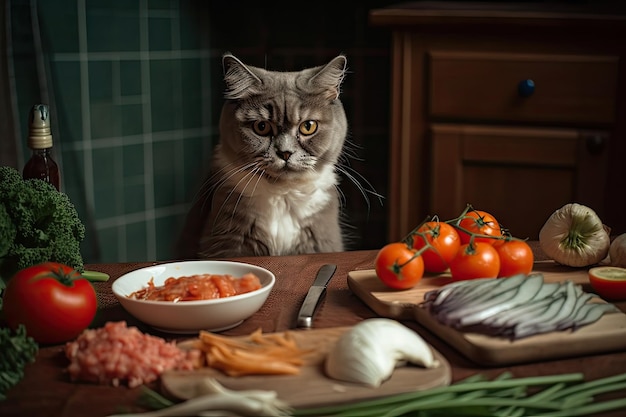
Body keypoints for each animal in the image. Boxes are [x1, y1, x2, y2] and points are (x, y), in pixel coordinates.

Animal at [176, 53, 366, 258]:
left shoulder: (319, 240)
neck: (283, 194)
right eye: (261, 127)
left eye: (308, 127)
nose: (285, 152)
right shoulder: (228, 240)